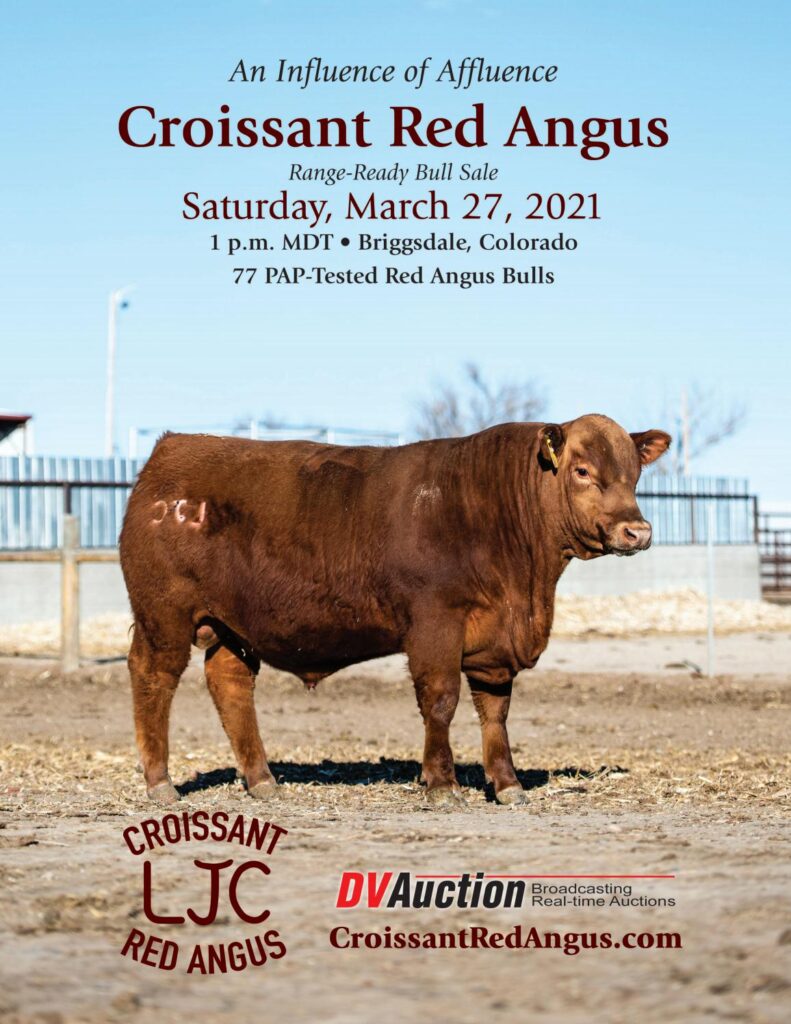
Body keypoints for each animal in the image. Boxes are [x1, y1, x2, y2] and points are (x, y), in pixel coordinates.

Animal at [119, 415, 670, 807]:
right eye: (582, 471)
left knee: (230, 685)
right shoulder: (435, 623)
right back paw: (160, 783)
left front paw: (508, 783)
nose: (637, 531)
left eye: (634, 474)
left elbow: (495, 710)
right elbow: (441, 700)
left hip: (232, 626)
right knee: (153, 678)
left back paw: (262, 781)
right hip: (163, 615)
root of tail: (172, 448)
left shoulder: (493, 642)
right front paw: (442, 783)